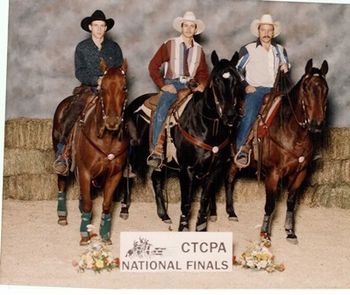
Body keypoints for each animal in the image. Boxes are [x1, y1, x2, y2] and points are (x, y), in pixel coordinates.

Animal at [52, 59, 129, 245]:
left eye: (124, 87)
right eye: (102, 88)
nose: (112, 122)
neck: (107, 138)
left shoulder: (114, 175)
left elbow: (106, 206)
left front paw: (105, 235)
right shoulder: (85, 172)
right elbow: (88, 203)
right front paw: (85, 234)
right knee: (61, 182)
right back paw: (62, 215)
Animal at [126, 50, 243, 231]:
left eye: (236, 80)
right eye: (216, 80)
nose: (230, 115)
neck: (207, 128)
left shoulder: (214, 170)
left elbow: (204, 200)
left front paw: (201, 227)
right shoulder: (186, 169)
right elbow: (186, 203)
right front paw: (183, 228)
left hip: (160, 162)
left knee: (156, 180)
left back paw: (164, 215)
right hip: (133, 152)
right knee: (126, 175)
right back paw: (124, 210)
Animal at [226, 59, 330, 244]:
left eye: (326, 90)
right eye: (306, 88)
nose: (316, 124)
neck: (293, 132)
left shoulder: (300, 173)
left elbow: (290, 202)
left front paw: (290, 231)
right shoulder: (272, 174)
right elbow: (270, 204)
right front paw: (264, 233)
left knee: (230, 179)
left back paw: (231, 212)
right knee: (228, 180)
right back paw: (228, 213)